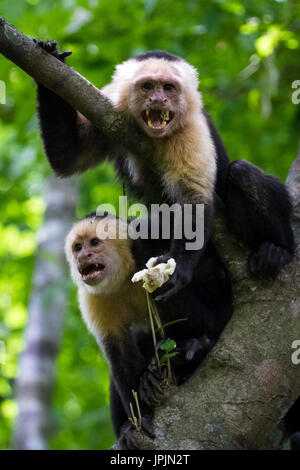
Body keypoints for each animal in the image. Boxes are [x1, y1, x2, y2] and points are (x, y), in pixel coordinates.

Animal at [35, 43, 296, 302]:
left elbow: (193, 197)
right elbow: (68, 158)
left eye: (168, 88)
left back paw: (278, 249)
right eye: (148, 86)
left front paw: (178, 266)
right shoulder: (107, 105)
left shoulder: (190, 128)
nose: (158, 99)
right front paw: (50, 57)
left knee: (242, 172)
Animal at [64, 213, 233, 448]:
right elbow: (121, 357)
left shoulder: (148, 231)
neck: (124, 275)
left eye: (94, 243)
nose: (82, 256)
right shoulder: (92, 298)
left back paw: (193, 349)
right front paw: (139, 419)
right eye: (77, 247)